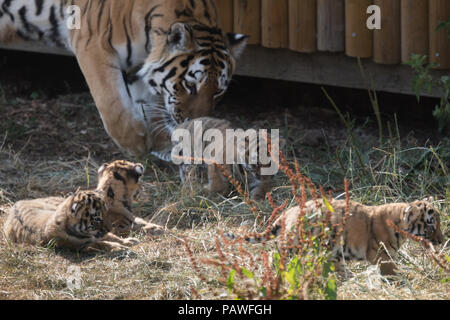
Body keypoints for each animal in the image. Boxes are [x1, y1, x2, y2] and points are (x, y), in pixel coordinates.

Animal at [0, 1, 246, 156]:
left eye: (218, 91)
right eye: (190, 85)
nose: (199, 128)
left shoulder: (140, 66)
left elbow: (148, 103)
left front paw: (160, 143)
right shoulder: (92, 42)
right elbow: (112, 104)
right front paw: (136, 143)